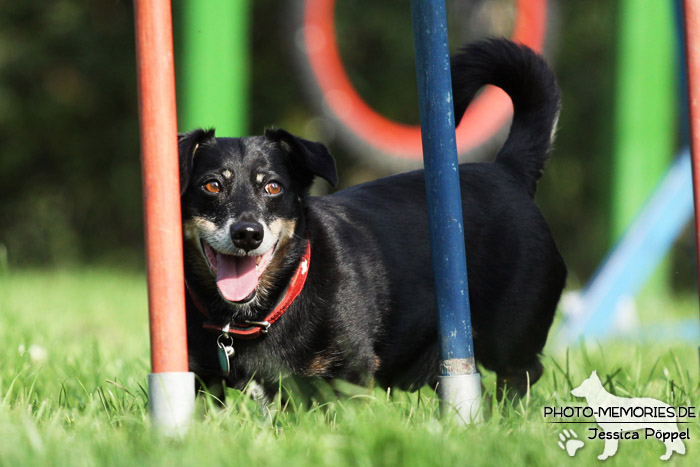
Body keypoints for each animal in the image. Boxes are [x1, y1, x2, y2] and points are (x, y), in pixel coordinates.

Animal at [178, 39, 568, 402]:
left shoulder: (348, 372)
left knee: (522, 371)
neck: (256, 314)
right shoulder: (202, 378)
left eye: (273, 186)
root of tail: (508, 170)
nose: (247, 234)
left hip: (510, 334)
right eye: (212, 185)